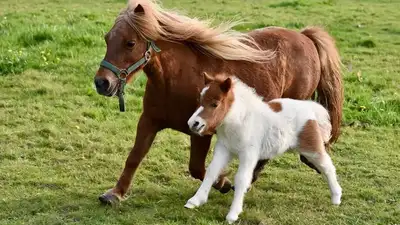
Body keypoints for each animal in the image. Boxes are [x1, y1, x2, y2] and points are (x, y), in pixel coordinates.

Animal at [94, 0, 344, 205]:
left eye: (130, 43)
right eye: (107, 39)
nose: (102, 83)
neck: (176, 78)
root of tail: (305, 37)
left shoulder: (200, 131)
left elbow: (197, 168)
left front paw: (223, 183)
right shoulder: (149, 121)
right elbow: (134, 157)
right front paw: (115, 194)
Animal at [184, 73, 340, 223]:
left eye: (215, 104)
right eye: (200, 100)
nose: (193, 123)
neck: (240, 121)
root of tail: (309, 108)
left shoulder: (248, 154)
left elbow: (241, 179)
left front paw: (233, 214)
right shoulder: (224, 149)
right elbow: (212, 171)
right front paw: (195, 200)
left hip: (311, 148)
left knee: (327, 167)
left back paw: (336, 197)